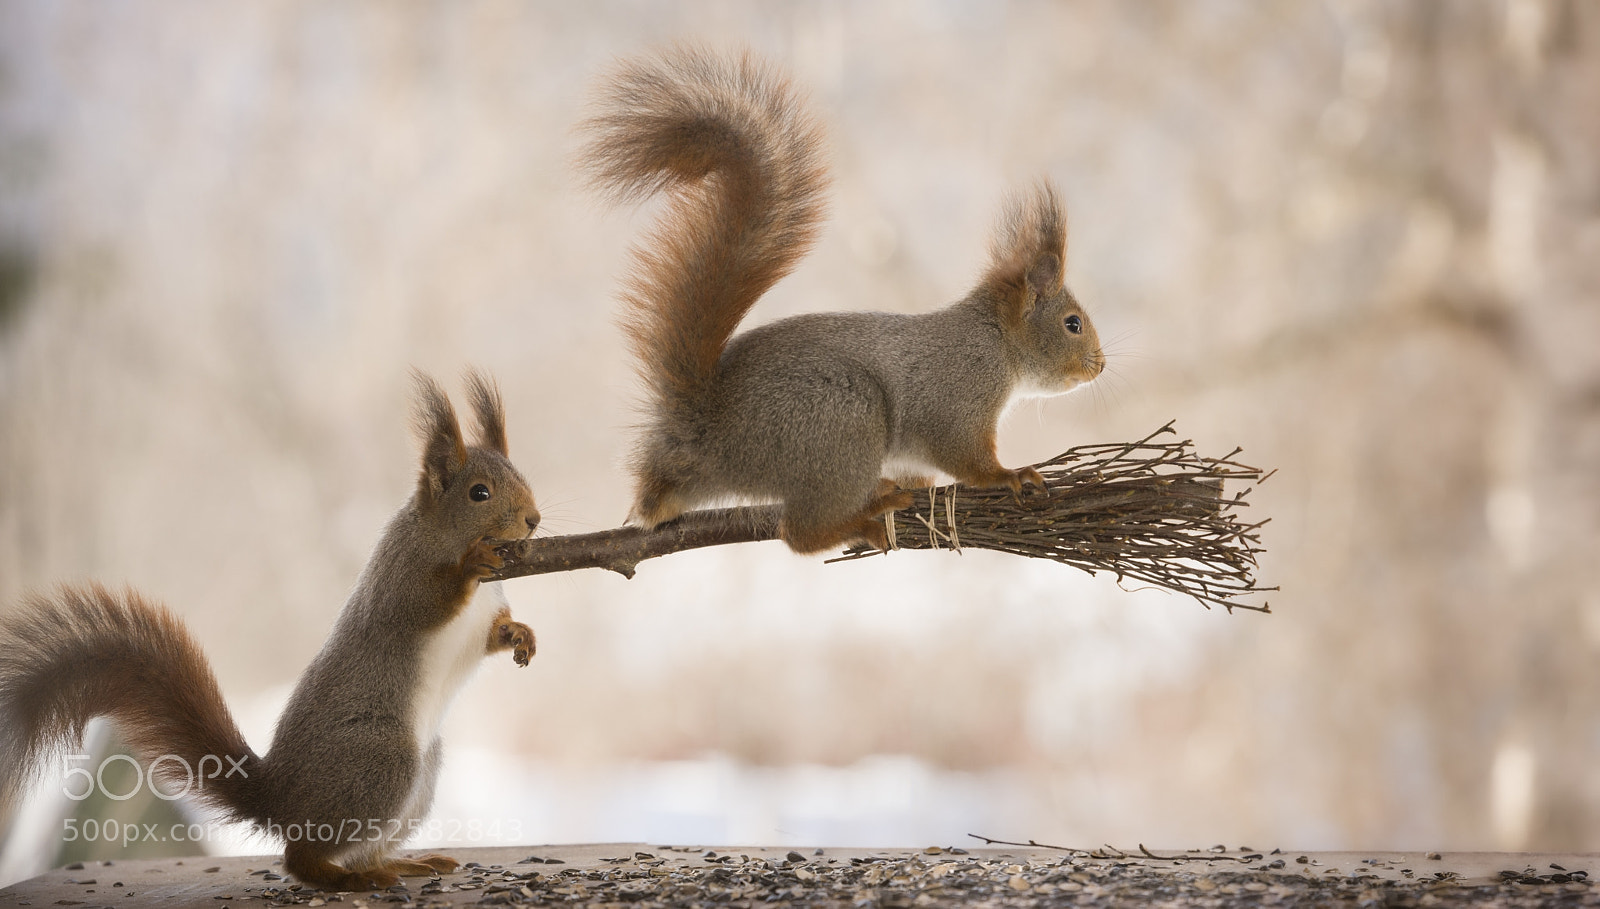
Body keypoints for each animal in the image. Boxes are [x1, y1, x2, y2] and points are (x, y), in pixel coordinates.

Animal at [0, 371, 540, 892]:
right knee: (300, 858)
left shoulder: (482, 613)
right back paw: (351, 876)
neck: (440, 535)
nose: (534, 520)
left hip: (419, 778)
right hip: (382, 761)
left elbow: (490, 635)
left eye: (522, 476)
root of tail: (278, 799)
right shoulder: (397, 580)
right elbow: (423, 604)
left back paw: (401, 863)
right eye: (479, 493)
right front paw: (472, 563)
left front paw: (521, 635)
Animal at [579, 47, 1106, 554]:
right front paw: (1010, 476)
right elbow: (968, 460)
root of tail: (701, 432)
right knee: (799, 533)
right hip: (843, 424)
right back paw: (868, 519)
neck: (995, 342)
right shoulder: (957, 399)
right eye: (1072, 324)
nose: (1100, 366)